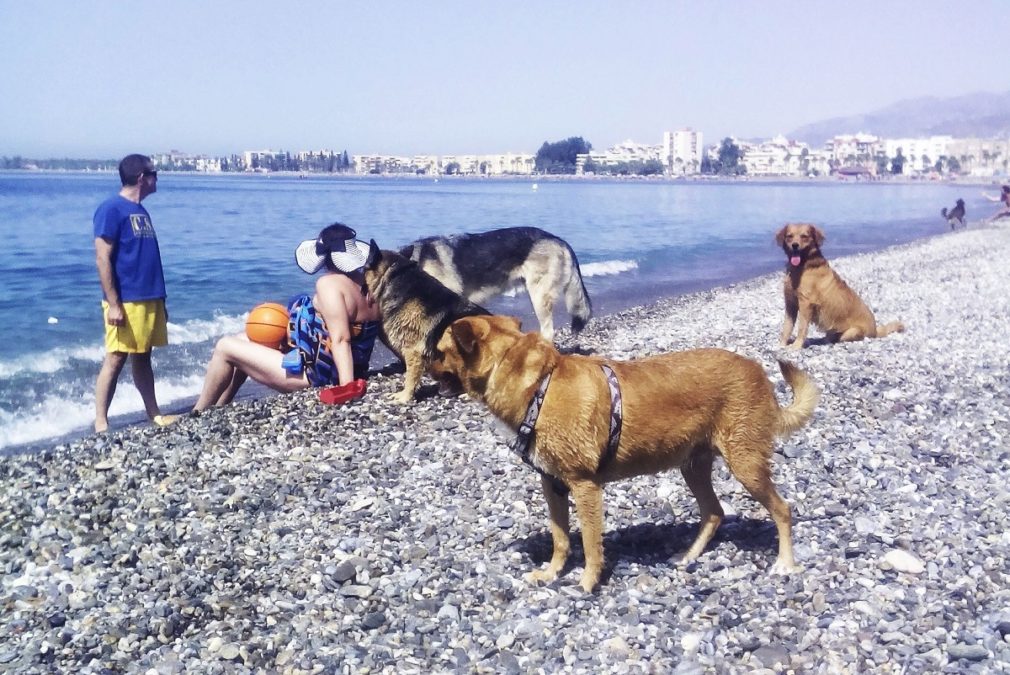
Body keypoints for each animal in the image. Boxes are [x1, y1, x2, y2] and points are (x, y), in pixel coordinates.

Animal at [430, 315, 816, 590]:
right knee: (713, 512)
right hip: (693, 466)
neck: (539, 386)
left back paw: (785, 562)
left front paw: (587, 583)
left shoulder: (585, 486)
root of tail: (759, 373)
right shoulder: (552, 485)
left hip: (745, 463)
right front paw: (551, 573)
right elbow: (560, 538)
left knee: (782, 510)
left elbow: (589, 543)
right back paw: (688, 556)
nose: (425, 366)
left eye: (440, 351)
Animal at [771, 224, 909, 351]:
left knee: (839, 338)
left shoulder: (806, 304)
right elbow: (787, 327)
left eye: (804, 236)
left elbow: (801, 328)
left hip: (852, 332)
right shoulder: (790, 304)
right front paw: (782, 344)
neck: (802, 266)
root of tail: (875, 330)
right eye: (789, 236)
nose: (795, 245)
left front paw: (796, 345)